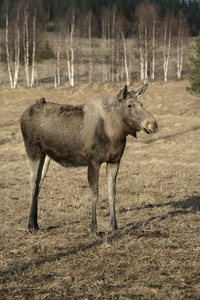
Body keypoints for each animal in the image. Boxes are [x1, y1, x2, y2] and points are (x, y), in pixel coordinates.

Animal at [20, 84, 158, 234]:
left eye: (142, 104)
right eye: (129, 105)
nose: (153, 125)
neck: (115, 133)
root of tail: (23, 115)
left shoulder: (114, 161)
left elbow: (112, 193)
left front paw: (113, 226)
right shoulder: (93, 161)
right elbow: (94, 194)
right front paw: (93, 228)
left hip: (46, 156)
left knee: (38, 184)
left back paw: (35, 223)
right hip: (33, 151)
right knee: (32, 184)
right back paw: (29, 225)